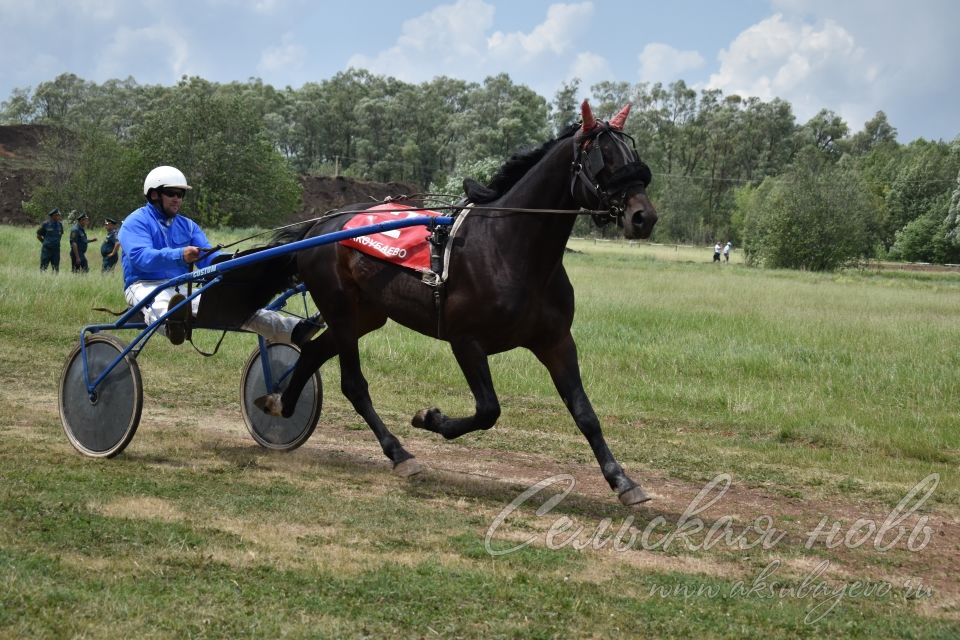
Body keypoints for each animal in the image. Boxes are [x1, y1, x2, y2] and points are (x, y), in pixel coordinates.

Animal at [258, 101, 656, 504]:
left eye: (633, 157)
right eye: (602, 159)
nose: (644, 217)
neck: (507, 248)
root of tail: (319, 226)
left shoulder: (556, 341)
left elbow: (584, 412)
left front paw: (622, 480)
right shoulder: (466, 341)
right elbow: (488, 410)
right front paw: (429, 418)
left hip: (365, 315)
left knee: (312, 351)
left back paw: (280, 403)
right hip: (339, 308)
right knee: (353, 384)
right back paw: (399, 453)